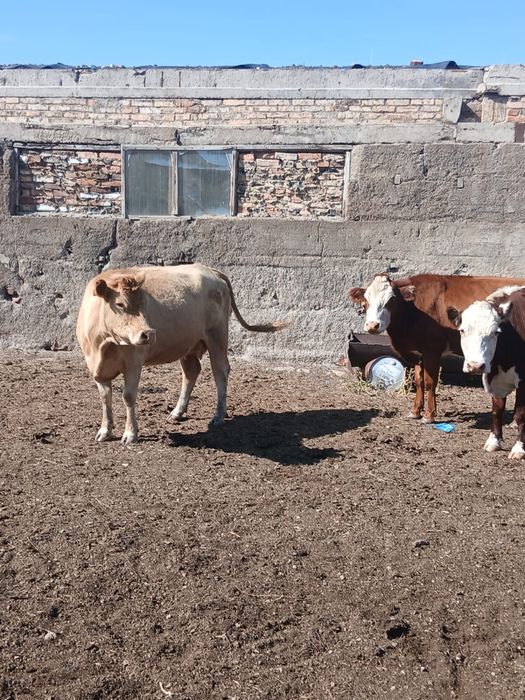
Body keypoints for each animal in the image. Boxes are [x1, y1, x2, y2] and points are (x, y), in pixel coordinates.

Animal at [76, 263, 289, 444]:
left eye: (144, 303)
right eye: (120, 304)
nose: (149, 333)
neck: (103, 345)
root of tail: (211, 270)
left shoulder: (134, 362)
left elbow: (128, 396)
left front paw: (130, 434)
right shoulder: (95, 367)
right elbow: (105, 398)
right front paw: (105, 431)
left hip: (218, 337)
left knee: (220, 372)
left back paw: (218, 415)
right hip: (188, 344)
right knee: (191, 372)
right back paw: (177, 412)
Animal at [348, 273, 525, 423]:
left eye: (391, 300)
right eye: (366, 300)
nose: (372, 325)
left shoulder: (432, 350)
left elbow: (429, 382)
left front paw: (429, 415)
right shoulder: (418, 353)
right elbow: (419, 381)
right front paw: (415, 412)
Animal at [447, 286, 525, 458]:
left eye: (495, 332)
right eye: (462, 330)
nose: (476, 365)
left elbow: (521, 414)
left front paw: (519, 448)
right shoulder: (493, 379)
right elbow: (497, 410)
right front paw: (494, 441)